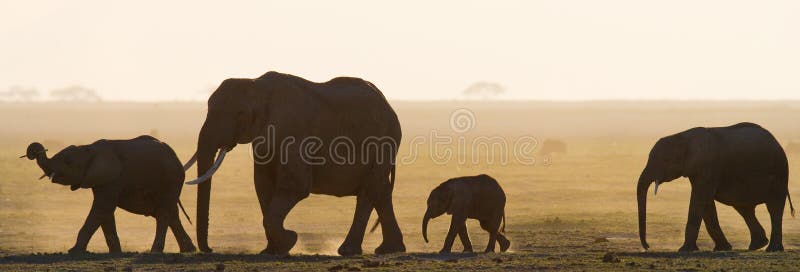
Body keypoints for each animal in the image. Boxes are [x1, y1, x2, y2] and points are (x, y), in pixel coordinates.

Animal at [21, 135, 196, 254]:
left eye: (68, 162)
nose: (35, 151)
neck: (89, 148)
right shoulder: (100, 180)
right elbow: (105, 213)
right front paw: (116, 252)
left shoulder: (113, 178)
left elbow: (102, 208)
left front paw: (74, 251)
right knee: (172, 214)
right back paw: (189, 250)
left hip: (170, 179)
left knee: (164, 213)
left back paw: (155, 251)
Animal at [184, 71, 404, 256]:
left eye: (240, 114)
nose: (210, 249)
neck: (257, 85)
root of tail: (387, 104)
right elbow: (263, 186)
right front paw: (272, 251)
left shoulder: (293, 135)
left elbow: (295, 186)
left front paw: (290, 240)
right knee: (380, 191)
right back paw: (387, 250)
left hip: (384, 141)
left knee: (370, 189)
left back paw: (350, 251)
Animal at [636, 122, 792, 252]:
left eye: (666, 160)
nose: (648, 246)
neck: (683, 136)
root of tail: (776, 142)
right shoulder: (699, 171)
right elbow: (706, 203)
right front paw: (723, 249)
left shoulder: (707, 167)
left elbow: (699, 199)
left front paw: (684, 250)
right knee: (744, 209)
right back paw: (757, 245)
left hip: (779, 173)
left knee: (774, 209)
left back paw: (772, 249)